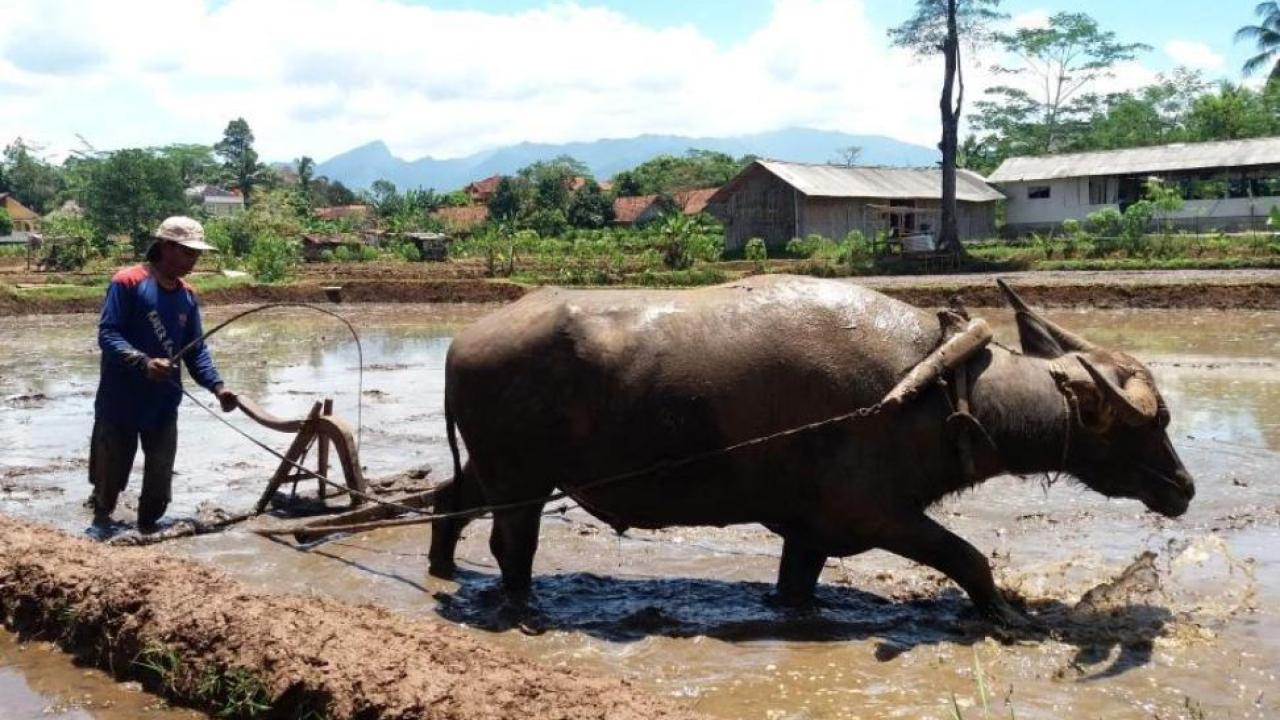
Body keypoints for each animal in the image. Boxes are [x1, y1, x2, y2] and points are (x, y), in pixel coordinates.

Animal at [427, 274, 1187, 622]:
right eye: (1148, 424)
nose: (1184, 488)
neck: (944, 389)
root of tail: (462, 341)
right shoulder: (876, 515)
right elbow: (967, 557)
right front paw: (1003, 614)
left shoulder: (811, 528)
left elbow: (797, 583)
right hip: (521, 478)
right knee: (512, 542)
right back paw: (522, 606)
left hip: (497, 470)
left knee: (447, 499)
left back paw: (443, 570)